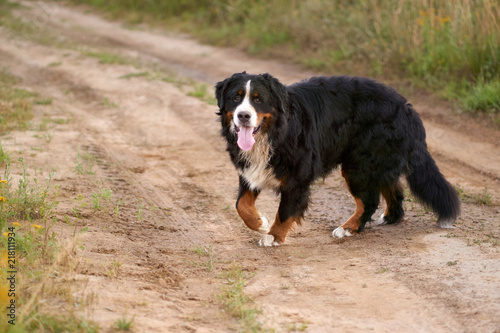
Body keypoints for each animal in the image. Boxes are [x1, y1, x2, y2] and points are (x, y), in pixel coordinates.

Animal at [215, 71, 460, 245]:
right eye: (236, 98)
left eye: (258, 100)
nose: (243, 116)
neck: (274, 132)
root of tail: (408, 110)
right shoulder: (250, 170)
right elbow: (241, 205)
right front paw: (259, 222)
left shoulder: (297, 177)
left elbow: (285, 210)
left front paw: (273, 236)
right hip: (374, 161)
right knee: (393, 190)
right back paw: (389, 217)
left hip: (359, 164)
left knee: (369, 201)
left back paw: (348, 228)